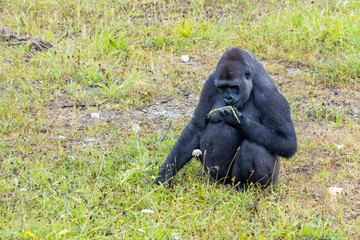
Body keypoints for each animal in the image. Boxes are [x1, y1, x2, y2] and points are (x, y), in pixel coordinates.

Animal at [156, 47, 296, 188]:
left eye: (234, 87)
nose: (228, 97)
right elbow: (196, 127)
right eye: (222, 87)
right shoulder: (210, 84)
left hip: (261, 180)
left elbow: (287, 142)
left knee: (254, 146)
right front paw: (165, 175)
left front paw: (238, 121)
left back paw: (248, 188)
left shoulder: (270, 96)